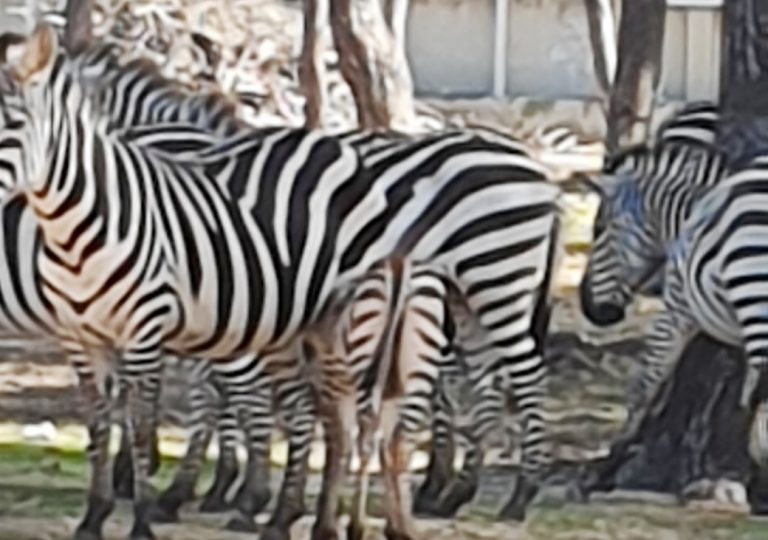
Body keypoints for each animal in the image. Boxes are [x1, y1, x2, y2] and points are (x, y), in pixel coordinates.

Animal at [3, 24, 560, 540]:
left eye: (14, 124)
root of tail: (539, 173)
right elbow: (129, 410)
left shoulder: (191, 309)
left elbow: (183, 402)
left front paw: (196, 492)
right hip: (464, 300)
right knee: (479, 379)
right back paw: (452, 489)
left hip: (494, 282)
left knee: (523, 374)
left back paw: (517, 493)